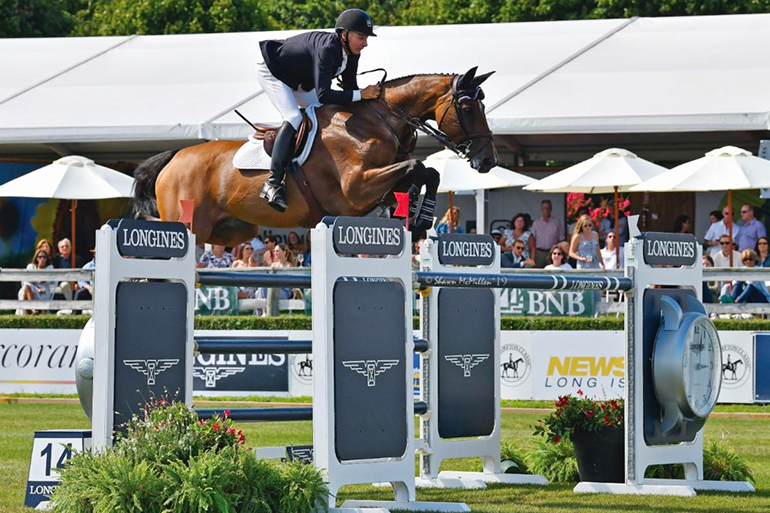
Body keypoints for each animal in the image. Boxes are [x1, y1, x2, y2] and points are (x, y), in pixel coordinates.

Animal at [132, 66, 498, 246]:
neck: (377, 121)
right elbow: (418, 167)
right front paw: (422, 218)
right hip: (188, 221)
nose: (489, 161)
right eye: (468, 108)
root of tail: (174, 157)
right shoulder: (355, 190)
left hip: (234, 230)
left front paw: (418, 216)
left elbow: (422, 173)